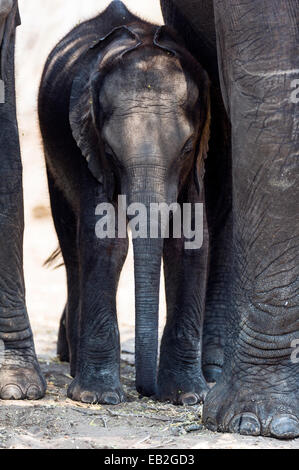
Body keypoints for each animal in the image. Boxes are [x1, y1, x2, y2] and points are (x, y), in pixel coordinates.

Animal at [38, 0, 211, 404]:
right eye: (112, 153)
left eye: (185, 148)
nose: (147, 391)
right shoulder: (87, 147)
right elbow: (106, 240)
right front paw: (97, 396)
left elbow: (189, 240)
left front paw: (187, 397)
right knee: (72, 244)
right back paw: (75, 370)